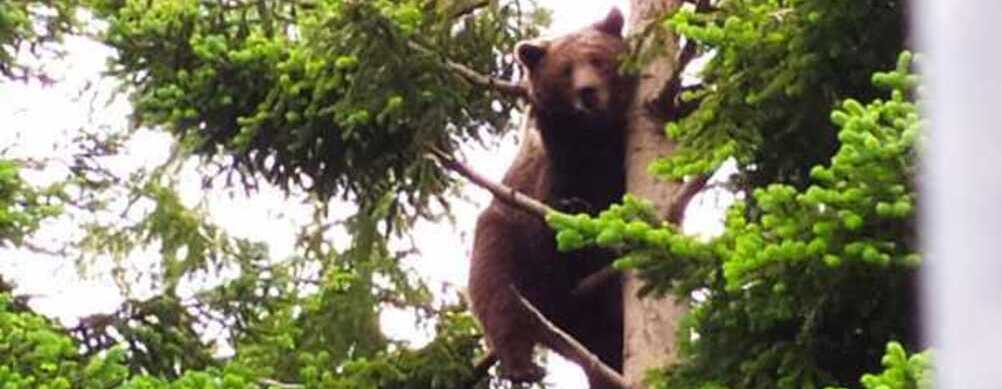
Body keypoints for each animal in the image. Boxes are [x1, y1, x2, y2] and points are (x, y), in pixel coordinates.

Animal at [466, 6, 633, 389]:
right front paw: (575, 210)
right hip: (507, 246)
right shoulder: (550, 170)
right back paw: (522, 364)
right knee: (497, 290)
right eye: (566, 69)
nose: (588, 92)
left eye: (597, 59)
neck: (594, 139)